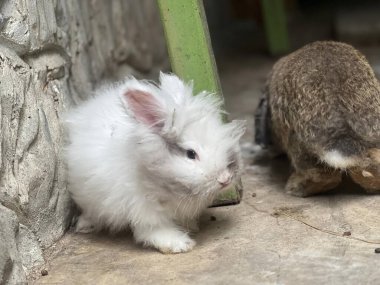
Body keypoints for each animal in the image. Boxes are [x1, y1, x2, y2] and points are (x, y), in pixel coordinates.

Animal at [65, 72, 246, 252]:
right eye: (190, 154)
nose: (225, 179)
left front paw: (191, 227)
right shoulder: (143, 207)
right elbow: (156, 229)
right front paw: (181, 244)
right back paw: (85, 226)